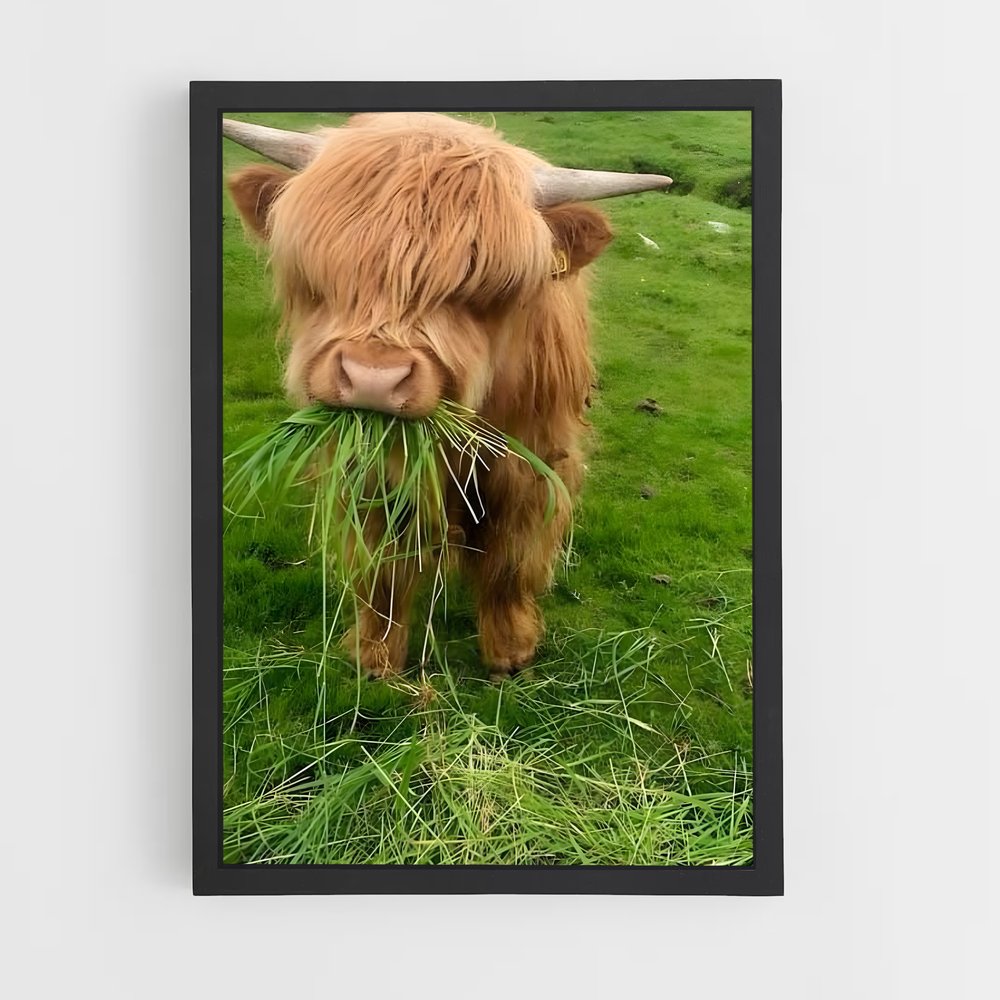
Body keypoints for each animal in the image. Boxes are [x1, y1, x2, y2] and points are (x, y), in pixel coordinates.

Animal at [224, 113, 671, 678]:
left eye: (483, 288)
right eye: (322, 273)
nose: (374, 378)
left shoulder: (530, 462)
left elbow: (510, 556)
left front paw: (510, 651)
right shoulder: (370, 469)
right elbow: (382, 565)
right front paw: (375, 656)